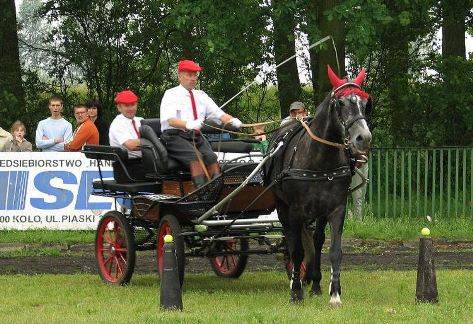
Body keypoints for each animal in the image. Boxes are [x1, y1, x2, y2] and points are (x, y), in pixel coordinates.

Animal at [266, 64, 368, 306]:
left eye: (365, 102)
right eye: (341, 103)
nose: (364, 137)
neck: (321, 160)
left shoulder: (337, 208)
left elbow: (334, 250)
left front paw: (335, 293)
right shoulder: (295, 210)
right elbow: (297, 251)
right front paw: (295, 292)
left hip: (319, 212)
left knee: (317, 240)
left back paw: (314, 283)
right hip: (283, 208)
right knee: (292, 241)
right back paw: (298, 282)